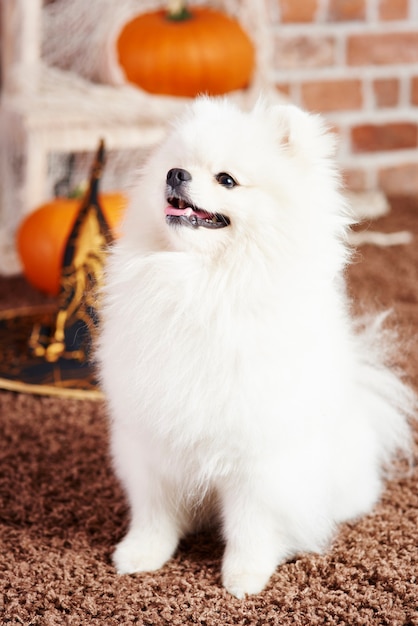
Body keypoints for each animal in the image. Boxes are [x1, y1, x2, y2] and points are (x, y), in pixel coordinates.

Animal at [98, 96, 414, 596]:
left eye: (226, 179)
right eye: (175, 165)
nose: (175, 175)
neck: (203, 282)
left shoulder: (259, 455)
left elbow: (252, 523)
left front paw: (244, 575)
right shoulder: (153, 437)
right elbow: (155, 509)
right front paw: (142, 554)